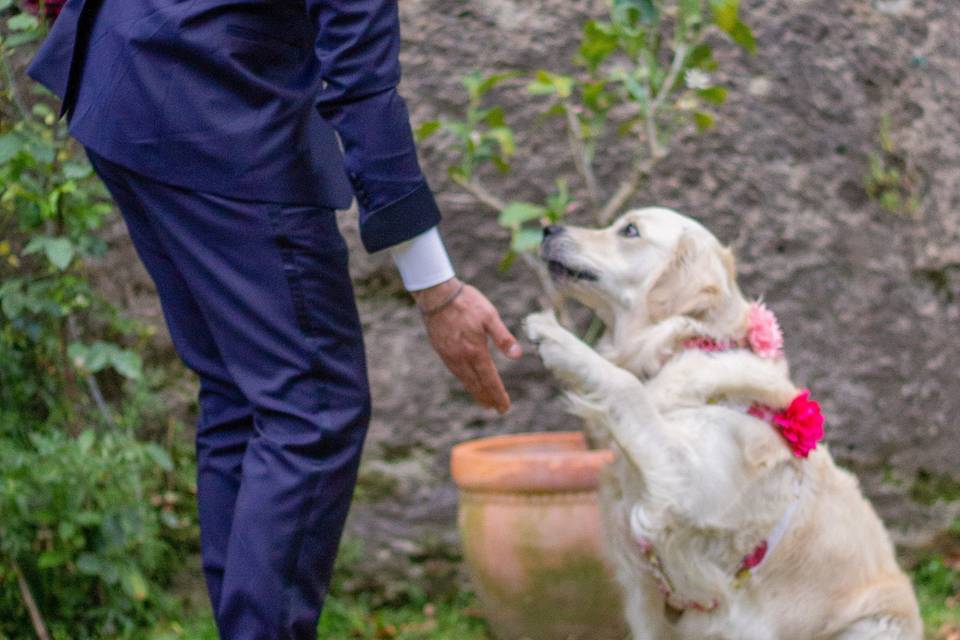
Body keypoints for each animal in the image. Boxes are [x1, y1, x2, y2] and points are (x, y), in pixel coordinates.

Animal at [524, 208, 924, 636]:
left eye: (630, 230)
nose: (549, 229)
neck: (682, 345)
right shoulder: (646, 604)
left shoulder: (690, 484)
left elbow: (627, 388)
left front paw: (559, 340)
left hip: (871, 625)